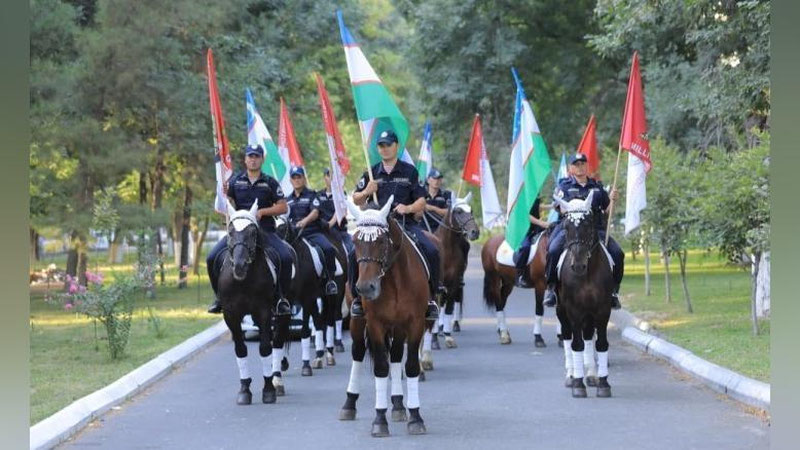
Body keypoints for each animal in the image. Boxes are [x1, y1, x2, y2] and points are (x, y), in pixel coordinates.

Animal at [214, 200, 286, 404]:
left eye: (253, 233)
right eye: (230, 232)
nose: (239, 266)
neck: (243, 281)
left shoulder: (264, 312)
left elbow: (265, 348)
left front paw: (268, 389)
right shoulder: (231, 314)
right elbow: (240, 349)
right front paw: (245, 389)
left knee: (277, 341)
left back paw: (277, 380)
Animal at [276, 218, 346, 376]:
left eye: (282, 229)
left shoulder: (306, 299)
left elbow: (304, 331)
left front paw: (305, 365)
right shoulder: (287, 302)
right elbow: (282, 331)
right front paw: (282, 363)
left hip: (334, 294)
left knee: (331, 319)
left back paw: (329, 353)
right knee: (319, 321)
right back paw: (319, 355)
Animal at [338, 196, 432, 436]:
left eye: (381, 242)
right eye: (356, 241)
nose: (365, 288)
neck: (395, 279)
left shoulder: (415, 322)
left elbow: (411, 366)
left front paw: (415, 417)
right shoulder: (375, 324)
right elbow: (381, 367)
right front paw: (379, 420)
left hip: (398, 327)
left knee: (397, 355)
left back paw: (398, 404)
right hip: (357, 321)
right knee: (358, 352)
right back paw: (349, 403)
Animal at [556, 190, 612, 398]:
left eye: (588, 224)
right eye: (566, 226)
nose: (578, 265)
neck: (587, 274)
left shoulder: (603, 309)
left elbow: (601, 343)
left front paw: (603, 383)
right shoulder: (574, 310)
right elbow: (576, 344)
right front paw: (578, 384)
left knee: (588, 336)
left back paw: (591, 374)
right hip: (561, 310)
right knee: (567, 336)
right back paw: (572, 375)